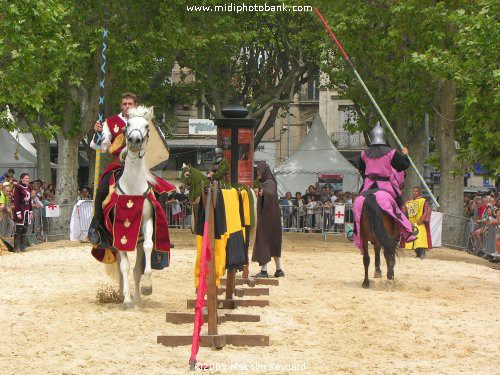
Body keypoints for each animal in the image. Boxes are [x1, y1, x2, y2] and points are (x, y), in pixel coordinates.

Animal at [106, 105, 157, 308]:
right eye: (128, 124)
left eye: (146, 126)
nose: (135, 140)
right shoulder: (120, 232)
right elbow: (124, 267)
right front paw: (126, 300)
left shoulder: (147, 221)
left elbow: (149, 247)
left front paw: (147, 287)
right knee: (122, 267)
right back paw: (124, 295)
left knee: (136, 269)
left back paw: (137, 298)